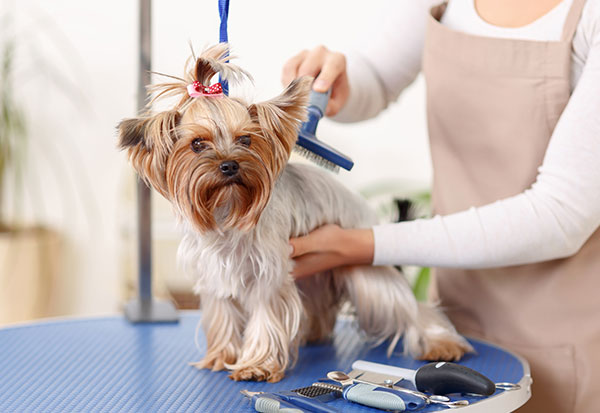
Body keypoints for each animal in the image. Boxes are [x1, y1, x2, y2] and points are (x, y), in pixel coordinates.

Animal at [118, 43, 474, 382]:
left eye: (245, 140)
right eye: (196, 144)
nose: (230, 165)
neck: (227, 209)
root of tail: (368, 213)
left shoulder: (269, 272)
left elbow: (265, 316)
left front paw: (256, 366)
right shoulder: (215, 273)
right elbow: (223, 315)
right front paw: (221, 356)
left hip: (365, 276)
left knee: (412, 308)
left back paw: (441, 343)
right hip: (313, 276)